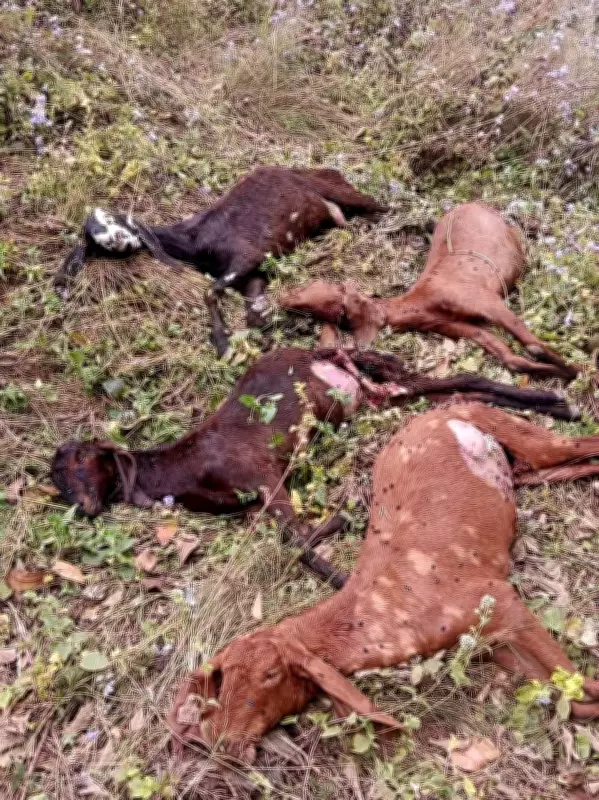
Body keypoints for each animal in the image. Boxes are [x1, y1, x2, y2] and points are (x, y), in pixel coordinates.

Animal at [50, 348, 577, 587]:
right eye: (56, 482)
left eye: (80, 459)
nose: (85, 508)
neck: (184, 469)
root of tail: (322, 353)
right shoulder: (255, 501)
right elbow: (293, 540)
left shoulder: (265, 476)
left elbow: (300, 541)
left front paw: (345, 564)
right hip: (375, 394)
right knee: (455, 387)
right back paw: (554, 402)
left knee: (460, 377)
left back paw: (559, 399)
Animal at [53, 166, 388, 356]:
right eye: (96, 244)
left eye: (114, 219)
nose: (119, 241)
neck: (194, 241)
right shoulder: (252, 277)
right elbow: (253, 313)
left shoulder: (248, 256)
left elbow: (209, 290)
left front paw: (222, 344)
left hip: (337, 189)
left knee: (380, 206)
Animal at [168, 402, 599, 762]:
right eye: (223, 677)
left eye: (271, 674)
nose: (223, 743)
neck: (391, 614)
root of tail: (445, 408)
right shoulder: (492, 644)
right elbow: (571, 697)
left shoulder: (498, 598)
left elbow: (584, 687)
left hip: (515, 430)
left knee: (579, 443)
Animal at [280, 202, 580, 380]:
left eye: (318, 289)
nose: (282, 298)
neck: (423, 302)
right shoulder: (463, 328)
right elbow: (511, 358)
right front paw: (565, 375)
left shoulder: (486, 300)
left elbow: (533, 345)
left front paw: (575, 369)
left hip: (514, 241)